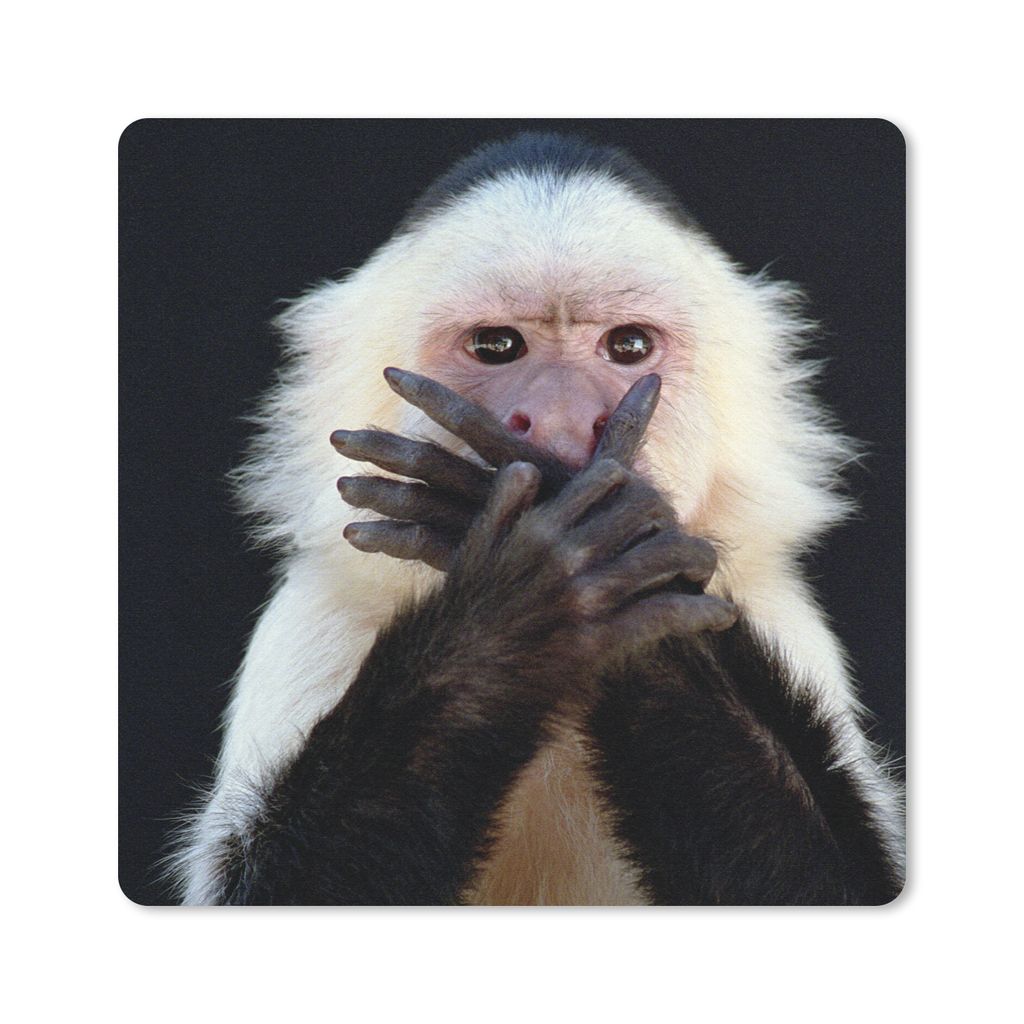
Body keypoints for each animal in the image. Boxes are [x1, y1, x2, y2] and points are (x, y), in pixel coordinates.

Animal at [170, 132, 904, 905]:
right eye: (497, 346)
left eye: (628, 347)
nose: (560, 418)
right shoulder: (317, 614)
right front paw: (524, 601)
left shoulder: (776, 610)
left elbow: (843, 883)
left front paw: (615, 554)